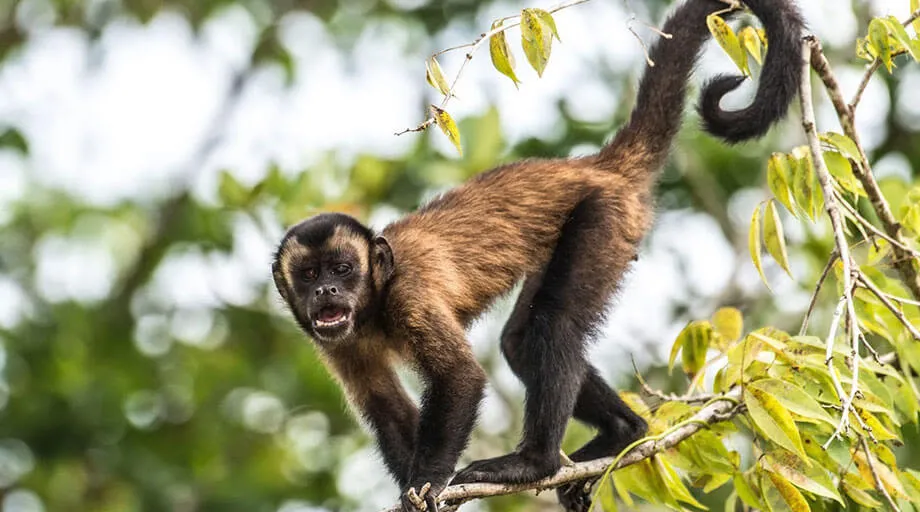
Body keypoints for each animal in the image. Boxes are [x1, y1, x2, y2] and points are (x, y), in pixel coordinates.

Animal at [271, 0, 804, 510]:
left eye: (343, 269)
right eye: (309, 274)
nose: (327, 289)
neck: (375, 305)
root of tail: (595, 166)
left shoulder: (410, 294)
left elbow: (461, 378)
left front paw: (427, 482)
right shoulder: (334, 342)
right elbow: (386, 408)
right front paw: (412, 488)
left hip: (604, 218)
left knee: (554, 325)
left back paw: (535, 462)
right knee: (521, 341)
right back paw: (625, 433)